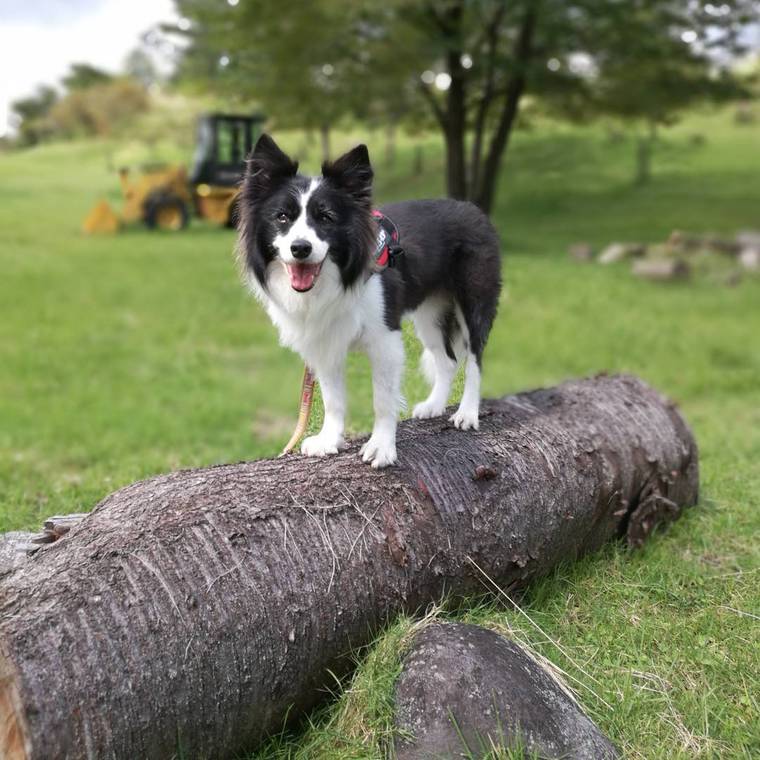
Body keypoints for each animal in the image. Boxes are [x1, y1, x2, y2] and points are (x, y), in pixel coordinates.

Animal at [236, 137, 498, 470]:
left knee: (475, 357)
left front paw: (381, 447)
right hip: (430, 314)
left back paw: (467, 412)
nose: (300, 248)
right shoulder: (324, 340)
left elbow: (383, 400)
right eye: (282, 217)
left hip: (473, 298)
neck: (333, 279)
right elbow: (333, 398)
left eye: (326, 218)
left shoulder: (385, 339)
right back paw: (435, 405)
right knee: (447, 359)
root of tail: (471, 209)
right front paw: (329, 440)